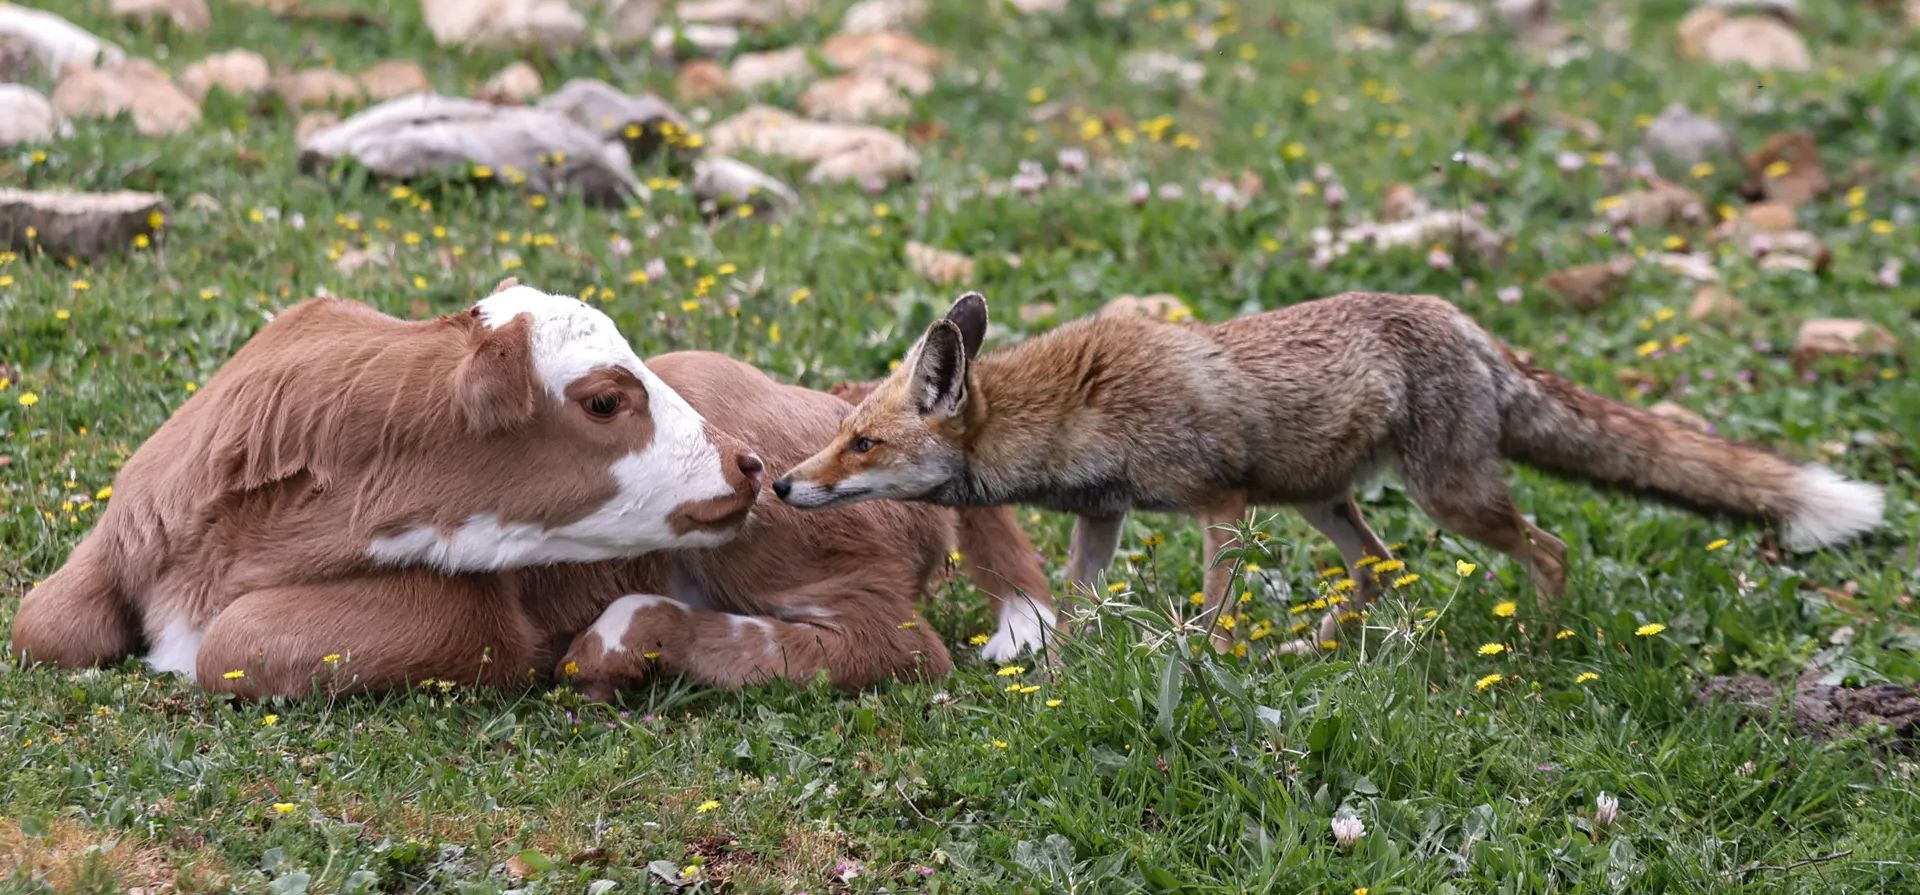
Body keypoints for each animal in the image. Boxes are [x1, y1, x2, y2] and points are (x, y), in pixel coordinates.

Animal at [772, 291, 1887, 651]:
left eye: (862, 445)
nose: (783, 486)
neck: (1073, 409)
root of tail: (1469, 325)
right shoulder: (1104, 516)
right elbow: (1079, 607)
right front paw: (1060, 669)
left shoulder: (1217, 503)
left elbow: (1212, 605)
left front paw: (1201, 657)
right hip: (1324, 504)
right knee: (1378, 570)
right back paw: (1321, 645)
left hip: (1449, 497)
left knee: (1551, 543)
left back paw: (1538, 637)